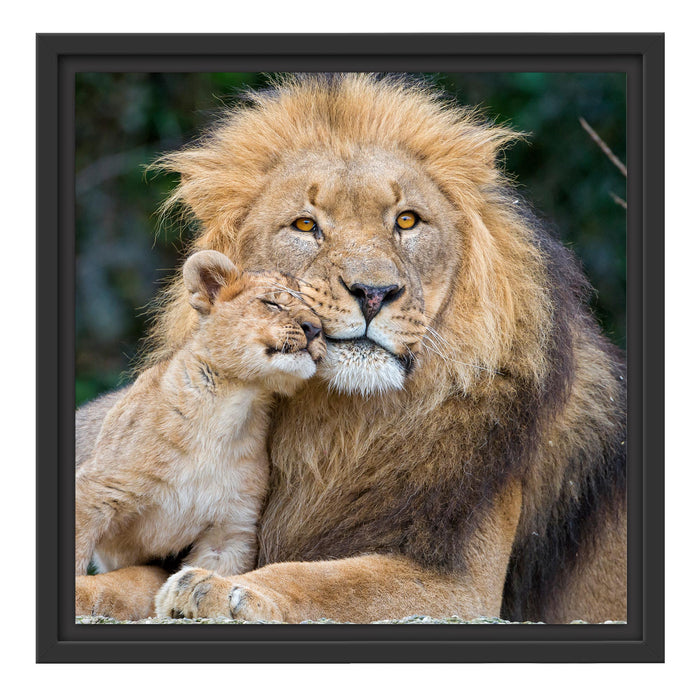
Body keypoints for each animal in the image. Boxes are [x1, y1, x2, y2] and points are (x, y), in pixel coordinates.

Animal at [76, 73, 626, 623]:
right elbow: (129, 577)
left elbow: (328, 579)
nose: (373, 292)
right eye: (305, 225)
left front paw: (223, 589)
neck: (342, 426)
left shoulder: (464, 586)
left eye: (407, 221)